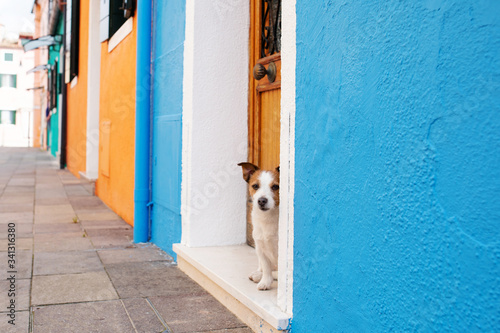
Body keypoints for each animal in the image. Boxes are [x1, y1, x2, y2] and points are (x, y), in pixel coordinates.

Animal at [237, 162, 280, 290]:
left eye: (275, 187)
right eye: (255, 186)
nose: (261, 200)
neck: (267, 218)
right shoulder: (260, 247)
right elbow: (266, 267)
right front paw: (265, 281)